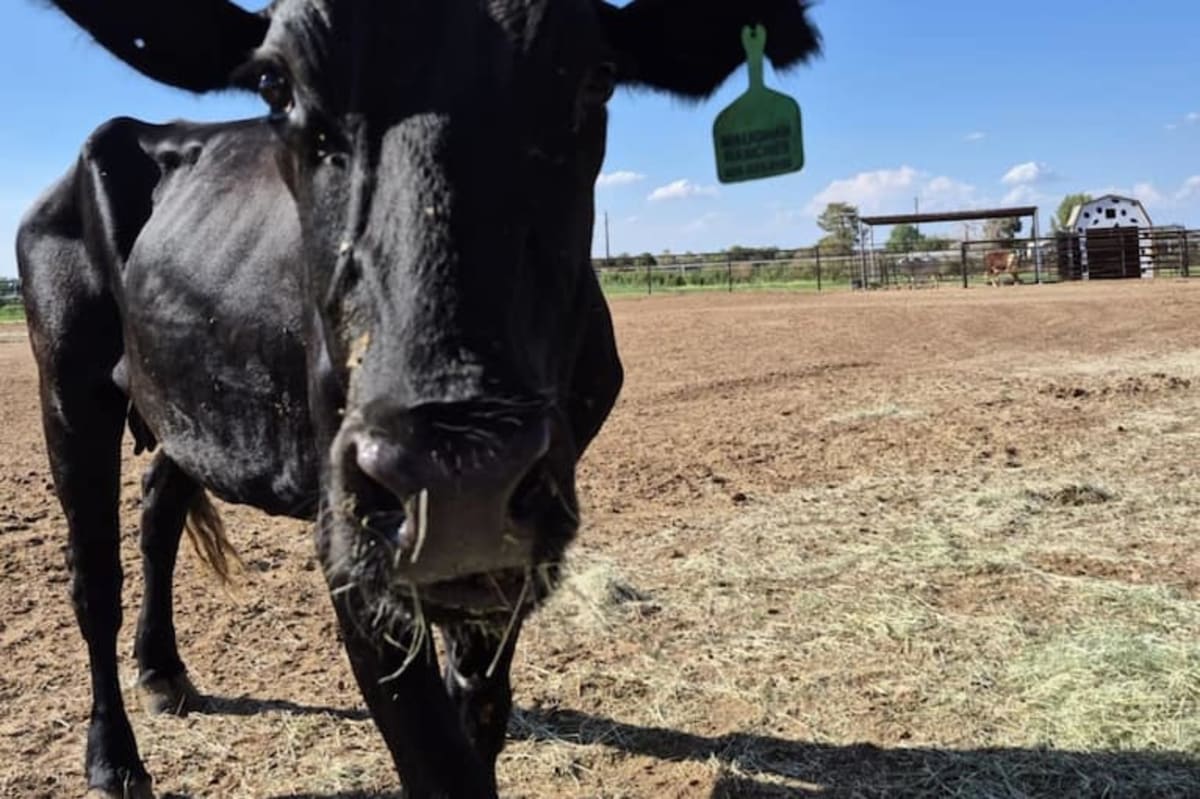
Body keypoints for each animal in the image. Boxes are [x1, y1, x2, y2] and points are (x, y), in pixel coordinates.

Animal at [17, 2, 822, 797]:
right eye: (277, 85)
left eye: (597, 76)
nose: (456, 478)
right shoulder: (348, 538)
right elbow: (435, 755)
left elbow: (480, 706)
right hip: (68, 388)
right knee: (94, 577)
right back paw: (113, 757)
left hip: (186, 404)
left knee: (158, 510)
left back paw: (163, 671)